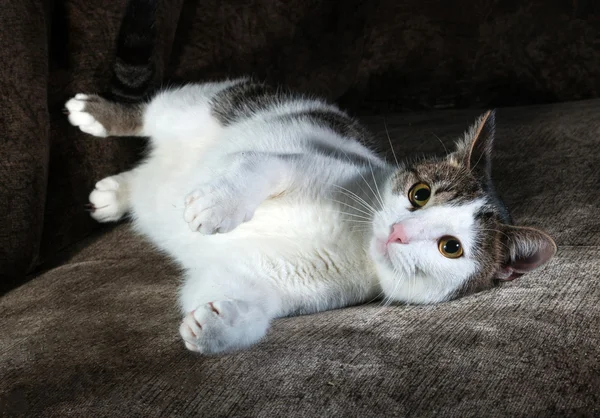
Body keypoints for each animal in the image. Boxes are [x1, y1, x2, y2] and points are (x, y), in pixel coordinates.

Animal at [63, 2, 556, 356]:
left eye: (450, 247)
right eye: (420, 194)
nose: (398, 232)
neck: (353, 238)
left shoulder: (268, 282)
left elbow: (245, 304)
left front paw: (216, 327)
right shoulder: (295, 161)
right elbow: (261, 166)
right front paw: (219, 205)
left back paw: (116, 193)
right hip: (209, 103)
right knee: (153, 109)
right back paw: (97, 114)